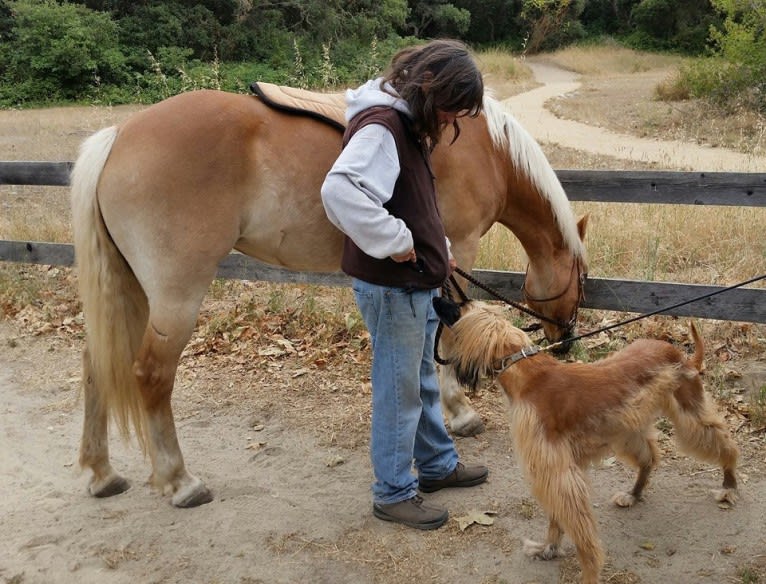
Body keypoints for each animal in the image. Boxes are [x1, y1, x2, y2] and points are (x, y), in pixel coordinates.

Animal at [70, 86, 588, 506]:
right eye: (582, 279)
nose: (566, 342)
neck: (486, 149)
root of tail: (119, 135)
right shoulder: (455, 247)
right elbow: (444, 333)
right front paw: (459, 411)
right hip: (174, 296)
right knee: (151, 375)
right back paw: (180, 481)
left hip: (131, 290)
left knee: (97, 365)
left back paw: (101, 472)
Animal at [432, 298, 736, 580]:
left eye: (458, 306)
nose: (434, 298)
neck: (527, 375)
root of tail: (680, 354)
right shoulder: (553, 472)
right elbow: (557, 519)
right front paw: (548, 549)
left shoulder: (557, 473)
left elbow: (577, 529)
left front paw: (588, 572)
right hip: (629, 430)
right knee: (649, 457)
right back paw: (634, 493)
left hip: (688, 413)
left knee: (724, 442)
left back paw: (729, 484)